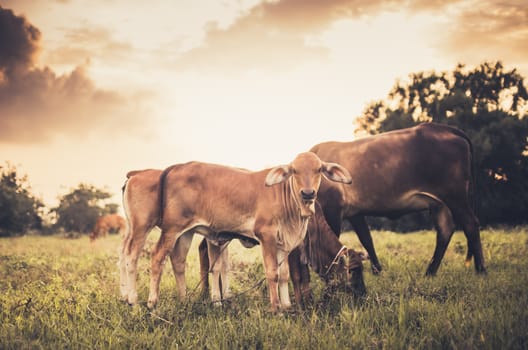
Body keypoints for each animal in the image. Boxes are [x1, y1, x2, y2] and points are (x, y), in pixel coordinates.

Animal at [147, 152, 354, 310]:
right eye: (294, 171)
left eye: (318, 170)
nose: (308, 193)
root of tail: (176, 166)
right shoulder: (266, 236)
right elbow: (273, 273)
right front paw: (276, 308)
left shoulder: (284, 244)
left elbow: (284, 274)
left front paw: (287, 306)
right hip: (172, 229)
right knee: (157, 257)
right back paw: (152, 303)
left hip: (185, 233)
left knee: (178, 261)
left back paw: (184, 301)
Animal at [310, 123, 486, 276]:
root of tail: (444, 128)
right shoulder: (355, 213)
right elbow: (366, 238)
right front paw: (377, 270)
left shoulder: (332, 208)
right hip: (439, 203)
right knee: (445, 230)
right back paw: (430, 272)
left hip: (455, 196)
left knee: (470, 224)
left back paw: (481, 271)